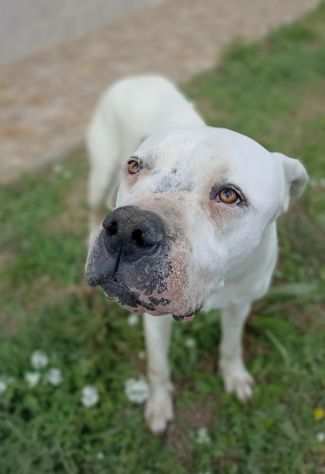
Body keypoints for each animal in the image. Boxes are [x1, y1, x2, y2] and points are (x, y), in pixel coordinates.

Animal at [85, 76, 308, 436]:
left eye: (230, 195)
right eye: (135, 166)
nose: (128, 229)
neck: (216, 286)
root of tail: (135, 77)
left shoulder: (240, 303)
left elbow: (231, 344)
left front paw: (234, 376)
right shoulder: (154, 318)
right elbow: (158, 366)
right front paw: (159, 404)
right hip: (101, 172)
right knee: (93, 207)